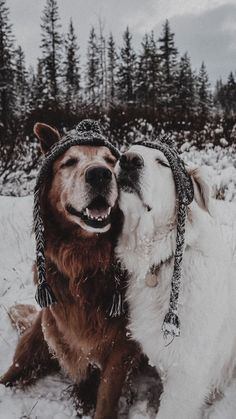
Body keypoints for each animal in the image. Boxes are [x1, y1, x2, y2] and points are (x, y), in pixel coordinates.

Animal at [0, 124, 139, 419]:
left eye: (111, 161)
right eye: (70, 162)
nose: (100, 173)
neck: (85, 260)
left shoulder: (121, 346)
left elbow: (106, 395)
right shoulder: (66, 334)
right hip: (38, 334)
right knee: (13, 372)